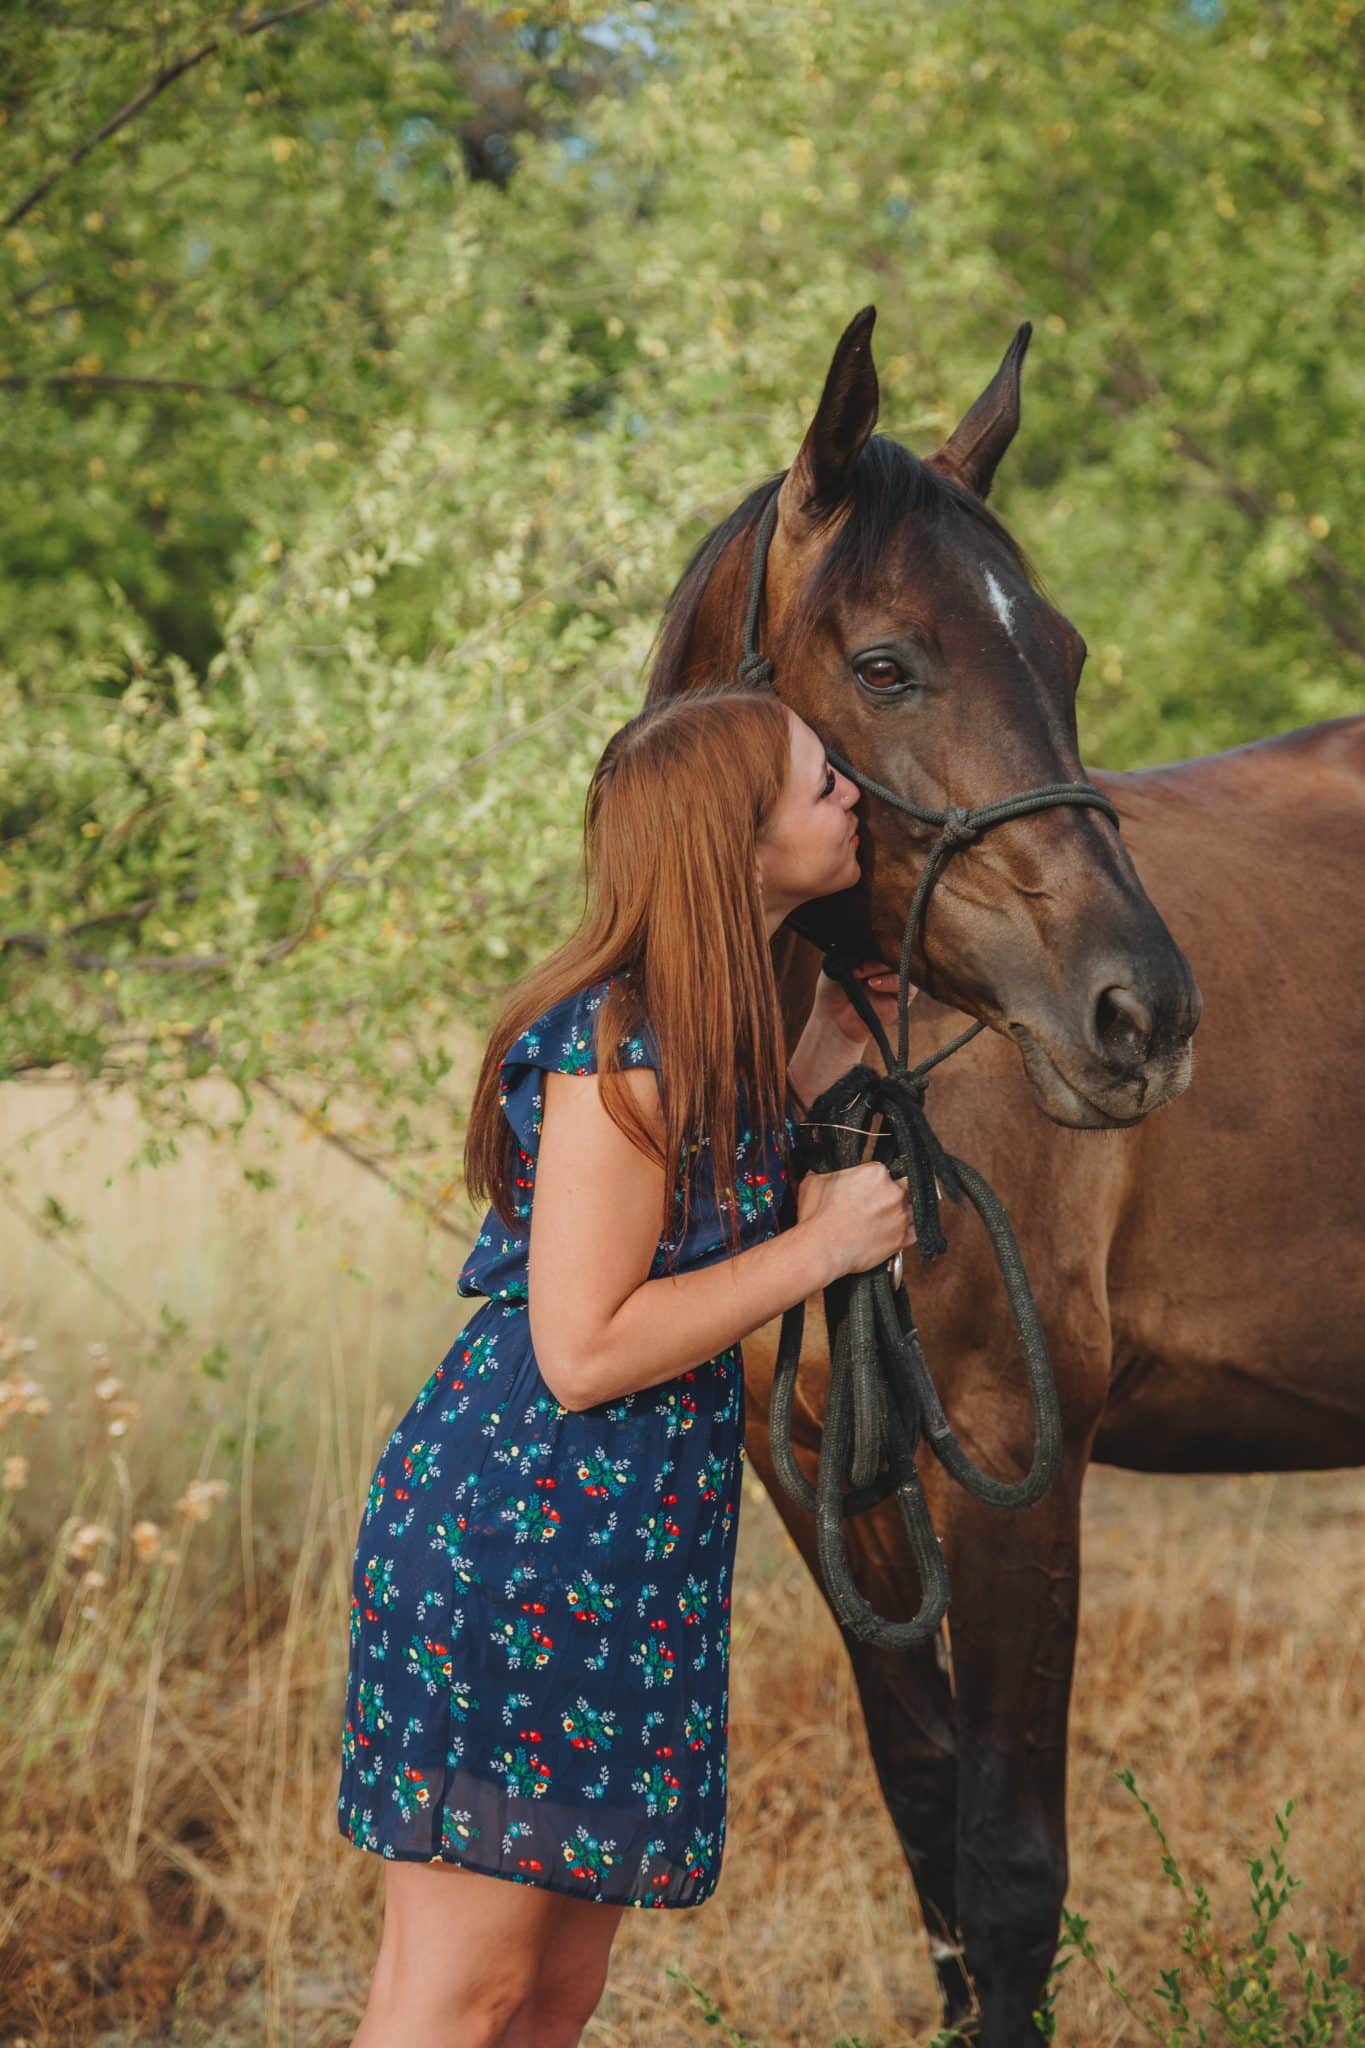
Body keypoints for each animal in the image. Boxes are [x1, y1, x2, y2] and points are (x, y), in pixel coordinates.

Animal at [642, 307, 1365, 2048]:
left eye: (1070, 657)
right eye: (886, 665)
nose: (1141, 1016)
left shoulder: (1014, 1448)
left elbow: (1013, 1875)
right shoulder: (825, 1477)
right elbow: (935, 1856)